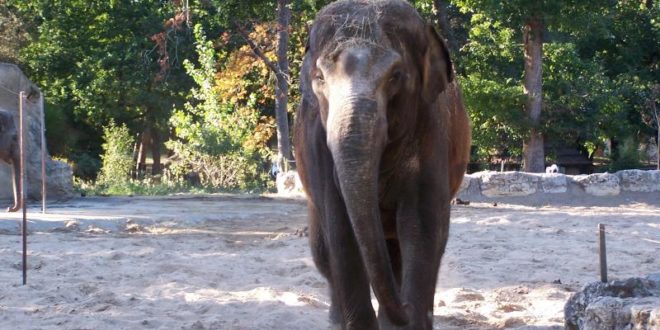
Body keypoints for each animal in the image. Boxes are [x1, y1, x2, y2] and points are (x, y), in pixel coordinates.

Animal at [292, 1, 470, 328]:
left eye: (396, 75)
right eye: (320, 77)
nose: (406, 308)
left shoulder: (430, 130)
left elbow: (421, 225)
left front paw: (410, 319)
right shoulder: (317, 143)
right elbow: (341, 229)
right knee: (322, 251)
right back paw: (337, 319)